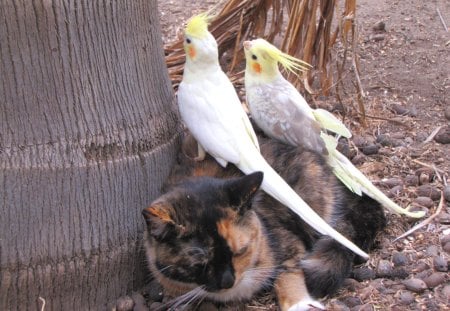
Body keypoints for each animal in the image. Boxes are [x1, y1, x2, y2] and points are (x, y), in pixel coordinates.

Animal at [142, 135, 384, 310]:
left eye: (240, 251)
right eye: (198, 264)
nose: (227, 281)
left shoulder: (288, 242)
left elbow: (289, 271)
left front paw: (298, 303)